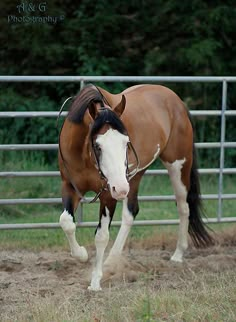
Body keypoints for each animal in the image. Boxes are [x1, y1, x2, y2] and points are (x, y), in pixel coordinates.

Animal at [58, 84, 213, 290]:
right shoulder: (70, 187)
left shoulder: (108, 194)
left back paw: (178, 254)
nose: (120, 189)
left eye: (126, 143)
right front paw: (82, 254)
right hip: (133, 177)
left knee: (183, 207)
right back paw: (111, 261)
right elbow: (66, 222)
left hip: (177, 165)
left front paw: (95, 282)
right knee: (131, 212)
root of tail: (176, 101)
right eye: (98, 146)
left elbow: (101, 235)